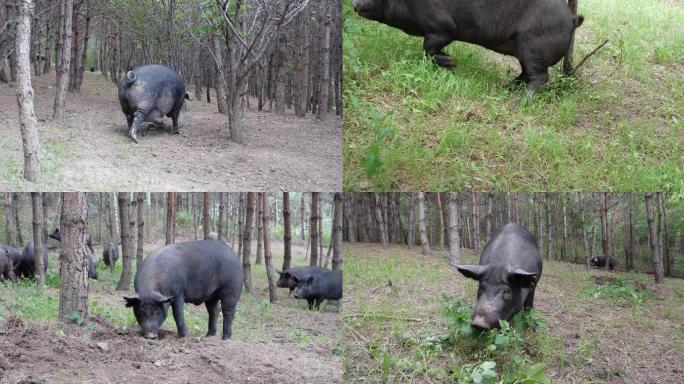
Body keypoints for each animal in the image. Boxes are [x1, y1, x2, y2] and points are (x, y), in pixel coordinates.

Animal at [352, 0, 584, 95]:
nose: (354, 3)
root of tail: (572, 19)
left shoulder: (442, 27)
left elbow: (429, 47)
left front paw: (452, 62)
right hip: (523, 49)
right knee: (526, 72)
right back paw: (507, 87)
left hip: (534, 45)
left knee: (540, 77)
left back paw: (519, 102)